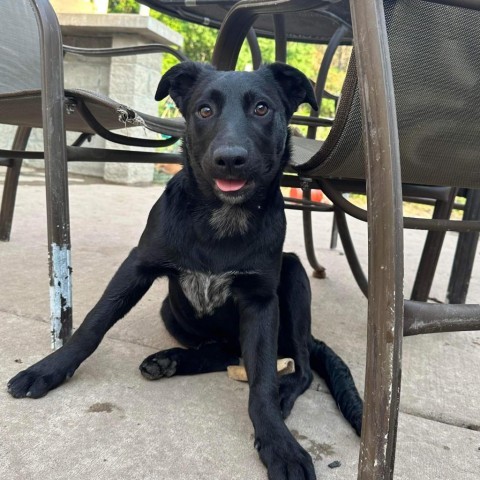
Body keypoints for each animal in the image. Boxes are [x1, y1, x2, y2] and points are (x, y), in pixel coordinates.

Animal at [7, 62, 362, 478]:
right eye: (204, 111)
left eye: (262, 108)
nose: (230, 159)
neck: (222, 218)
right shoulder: (137, 266)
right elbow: (92, 325)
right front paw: (49, 369)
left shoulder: (260, 301)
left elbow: (261, 380)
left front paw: (279, 443)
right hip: (175, 314)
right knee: (227, 352)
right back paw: (172, 360)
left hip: (293, 278)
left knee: (298, 367)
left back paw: (280, 392)